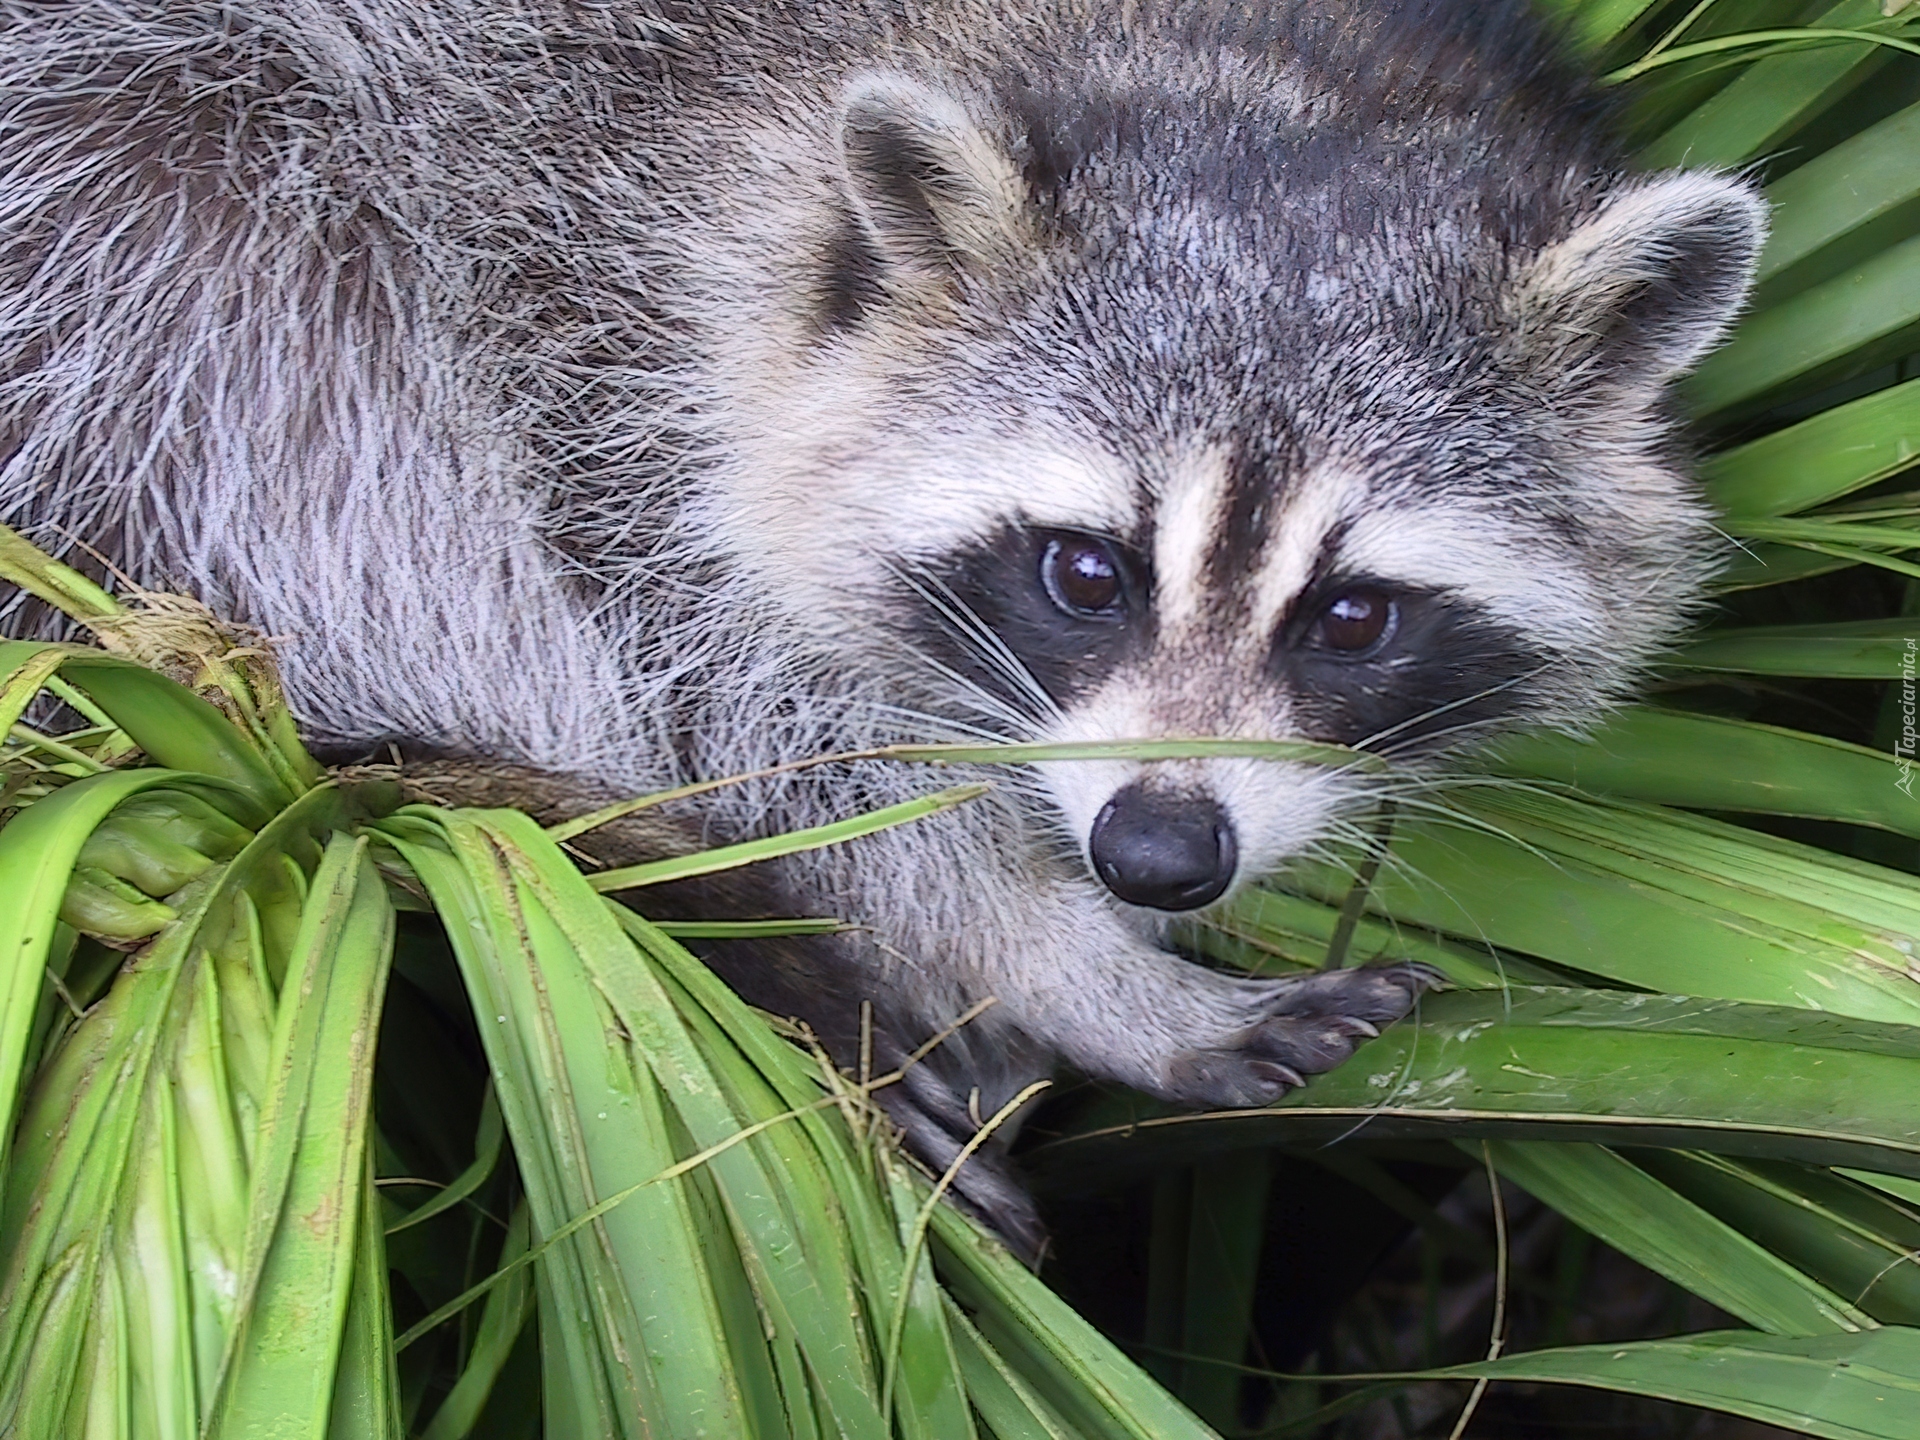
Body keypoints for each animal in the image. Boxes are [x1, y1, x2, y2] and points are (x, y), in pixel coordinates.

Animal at [0, 0, 1758, 1259]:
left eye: (1352, 616)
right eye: (1086, 573)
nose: (1157, 858)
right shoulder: (580, 290)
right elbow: (762, 728)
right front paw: (1067, 963)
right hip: (133, 206)